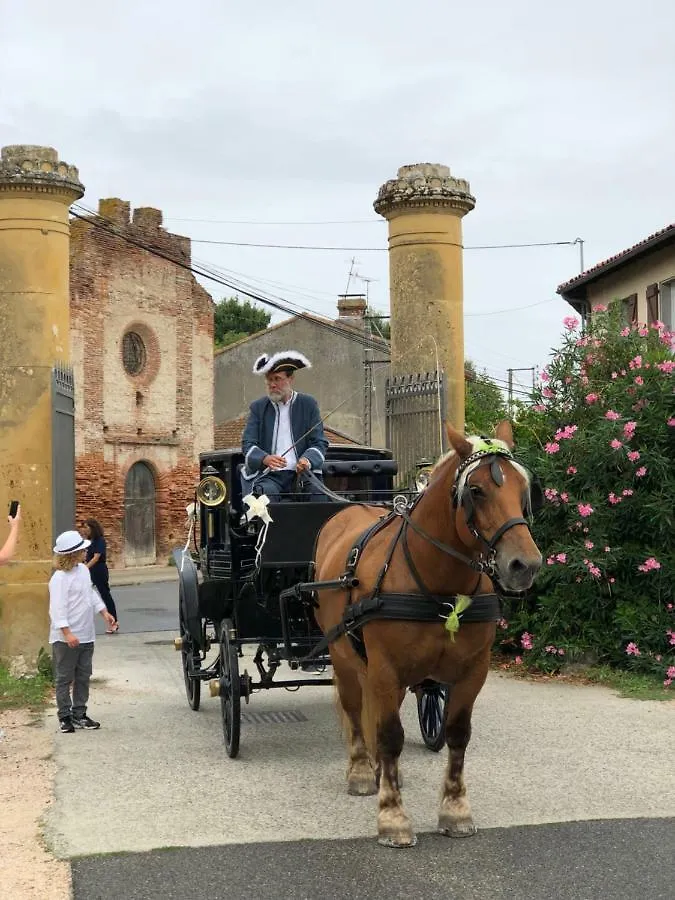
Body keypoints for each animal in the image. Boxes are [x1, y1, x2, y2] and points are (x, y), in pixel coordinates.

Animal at [312, 418, 544, 848]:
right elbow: (389, 735)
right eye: (476, 490)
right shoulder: (385, 668)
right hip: (342, 654)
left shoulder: (472, 672)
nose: (525, 565)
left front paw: (455, 809)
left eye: (524, 489)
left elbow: (456, 733)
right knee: (354, 708)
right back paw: (362, 770)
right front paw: (392, 816)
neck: (438, 587)